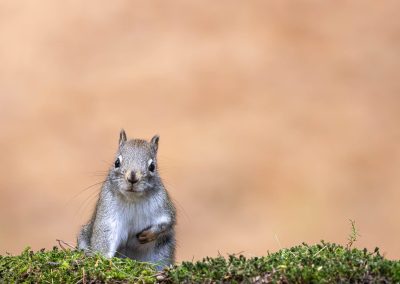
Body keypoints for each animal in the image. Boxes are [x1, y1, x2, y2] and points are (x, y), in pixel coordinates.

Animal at [77, 130, 176, 268]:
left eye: (152, 166)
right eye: (116, 162)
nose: (132, 177)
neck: (132, 199)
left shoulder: (163, 206)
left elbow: (167, 223)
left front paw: (148, 235)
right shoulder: (108, 210)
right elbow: (105, 232)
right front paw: (102, 259)